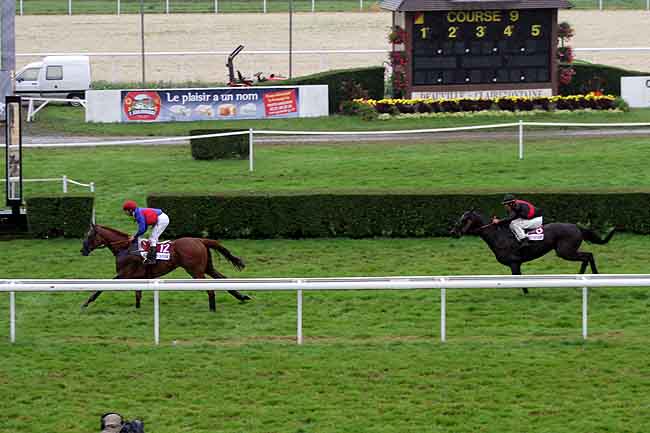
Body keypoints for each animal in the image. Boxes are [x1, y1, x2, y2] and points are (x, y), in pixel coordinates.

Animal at [79, 223, 251, 310]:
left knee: (210, 288)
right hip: (207, 267)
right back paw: (242, 297)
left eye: (89, 235)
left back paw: (212, 307)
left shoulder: (124, 274)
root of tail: (200, 240)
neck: (125, 247)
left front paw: (86, 303)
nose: (82, 250)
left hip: (195, 270)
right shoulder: (137, 276)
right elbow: (138, 294)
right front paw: (137, 308)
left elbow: (101, 287)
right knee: (222, 278)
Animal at [450, 210, 612, 294]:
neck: (498, 236)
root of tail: (576, 227)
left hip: (565, 251)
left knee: (587, 256)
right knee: (588, 256)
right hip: (567, 251)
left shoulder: (514, 263)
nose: (453, 232)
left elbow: (519, 280)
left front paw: (526, 292)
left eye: (464, 220)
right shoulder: (516, 264)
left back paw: (590, 276)